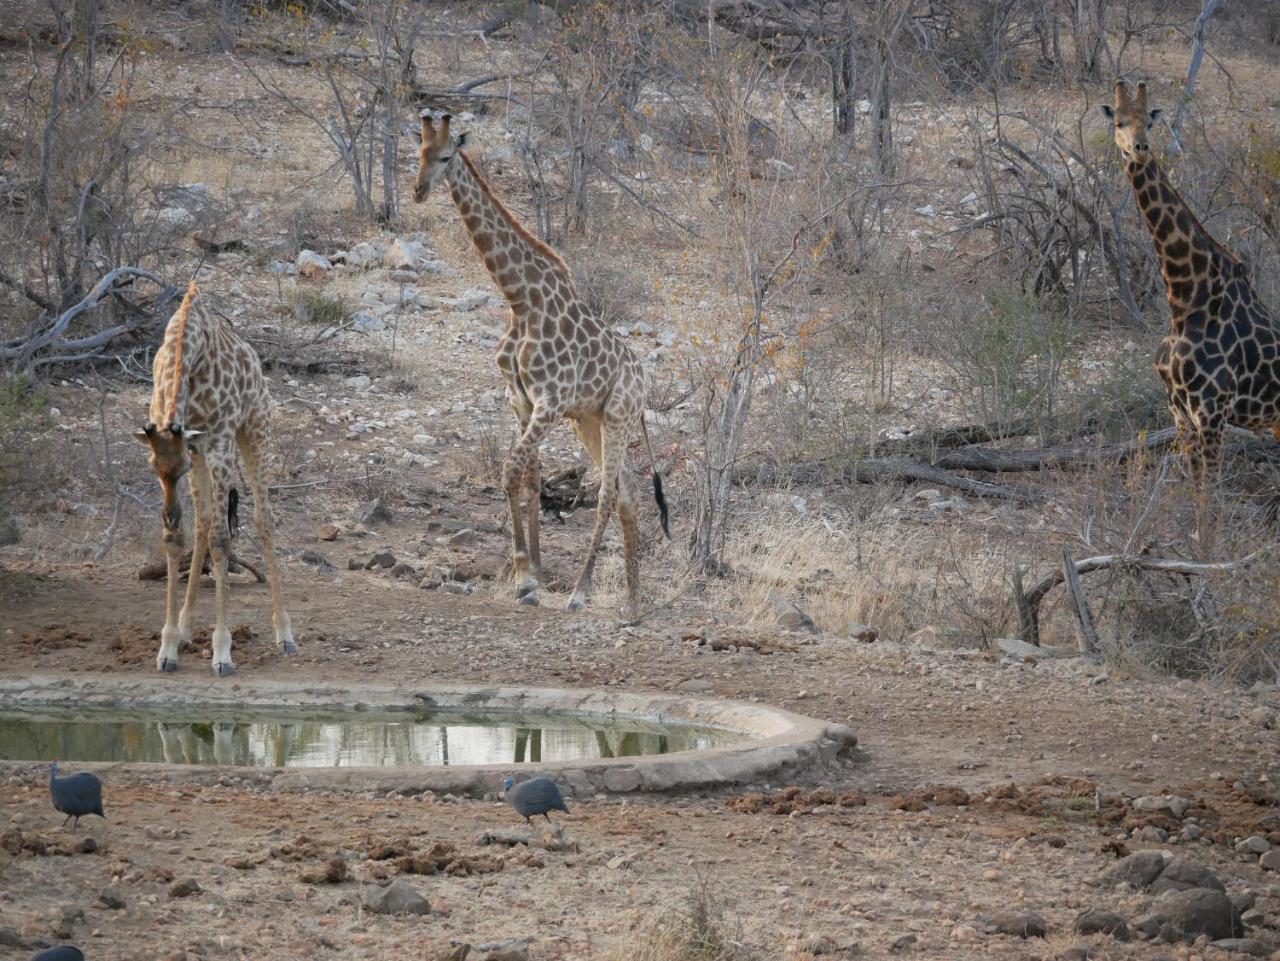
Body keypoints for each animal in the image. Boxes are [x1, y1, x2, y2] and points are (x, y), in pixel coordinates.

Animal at [133, 280, 295, 675]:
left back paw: (284, 633)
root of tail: (253, 357)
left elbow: (223, 540)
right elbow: (177, 539)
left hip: (254, 430)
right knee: (204, 522)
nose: (169, 514)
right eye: (153, 468)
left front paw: (223, 653)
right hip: (206, 452)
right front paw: (168, 647)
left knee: (262, 519)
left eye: (179, 469)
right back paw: (187, 627)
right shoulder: (191, 447)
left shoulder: (219, 443)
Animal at [412, 112, 675, 619]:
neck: (521, 300)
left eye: (447, 156)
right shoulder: (521, 399)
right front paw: (529, 573)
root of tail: (644, 380)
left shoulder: (548, 402)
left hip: (617, 414)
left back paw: (581, 592)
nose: (417, 190)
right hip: (589, 421)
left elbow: (509, 470)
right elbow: (530, 476)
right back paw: (633, 597)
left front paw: (526, 575)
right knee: (629, 492)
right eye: (418, 152)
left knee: (607, 494)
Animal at [1100, 82, 1280, 496]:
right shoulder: (1180, 412)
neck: (1185, 299)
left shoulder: (1212, 412)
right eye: (1118, 122)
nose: (1139, 148)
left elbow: (1208, 502)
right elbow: (1195, 496)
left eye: (1149, 121)